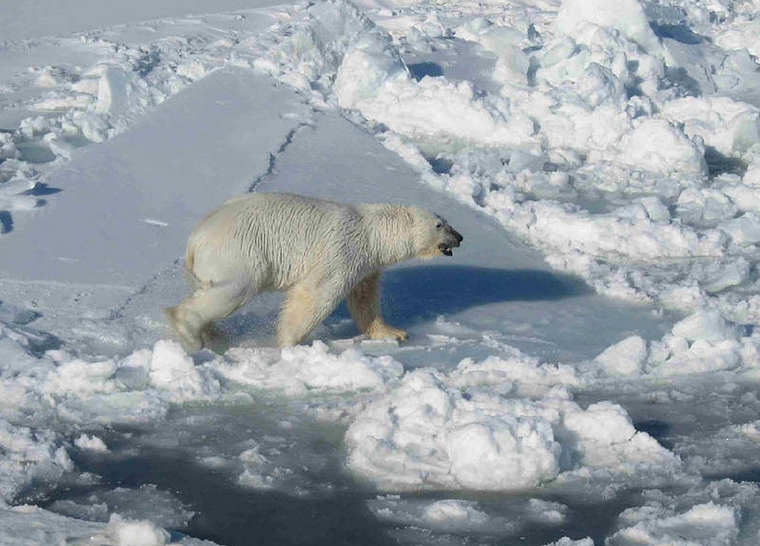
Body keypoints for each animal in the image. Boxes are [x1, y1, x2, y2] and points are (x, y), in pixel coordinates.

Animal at [167, 191, 464, 348]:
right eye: (440, 225)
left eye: (447, 222)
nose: (460, 237)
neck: (372, 232)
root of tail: (195, 238)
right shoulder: (343, 249)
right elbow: (318, 292)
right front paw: (290, 342)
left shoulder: (367, 265)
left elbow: (365, 300)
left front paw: (394, 332)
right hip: (239, 252)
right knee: (235, 288)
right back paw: (189, 332)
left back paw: (215, 334)